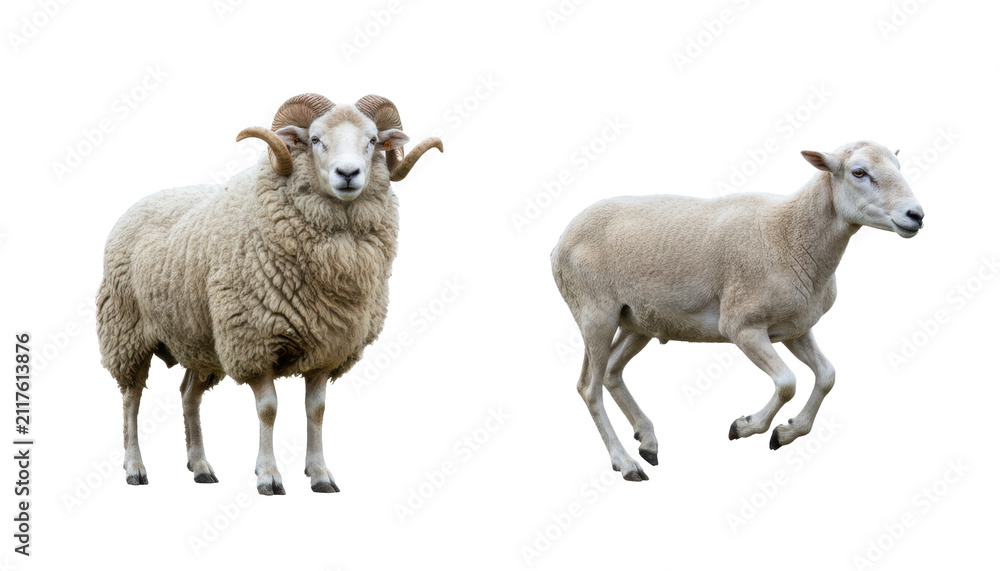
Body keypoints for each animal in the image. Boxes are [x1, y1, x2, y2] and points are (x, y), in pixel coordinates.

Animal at [97, 93, 442, 494]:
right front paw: (269, 475)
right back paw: (135, 467)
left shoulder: (326, 346)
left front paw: (320, 473)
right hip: (127, 331)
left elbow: (316, 410)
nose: (348, 174)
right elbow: (269, 409)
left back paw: (200, 466)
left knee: (188, 395)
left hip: (201, 341)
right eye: (314, 139)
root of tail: (143, 201)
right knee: (132, 398)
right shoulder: (252, 340)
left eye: (372, 140)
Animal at [550, 141, 924, 481]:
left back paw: (648, 442)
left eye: (897, 167)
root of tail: (560, 240)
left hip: (638, 320)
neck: (790, 233)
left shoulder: (795, 328)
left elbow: (828, 376)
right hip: (594, 312)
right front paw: (745, 427)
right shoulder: (742, 326)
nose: (916, 216)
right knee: (589, 387)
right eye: (859, 172)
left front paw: (786, 433)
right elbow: (787, 382)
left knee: (612, 372)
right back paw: (626, 463)